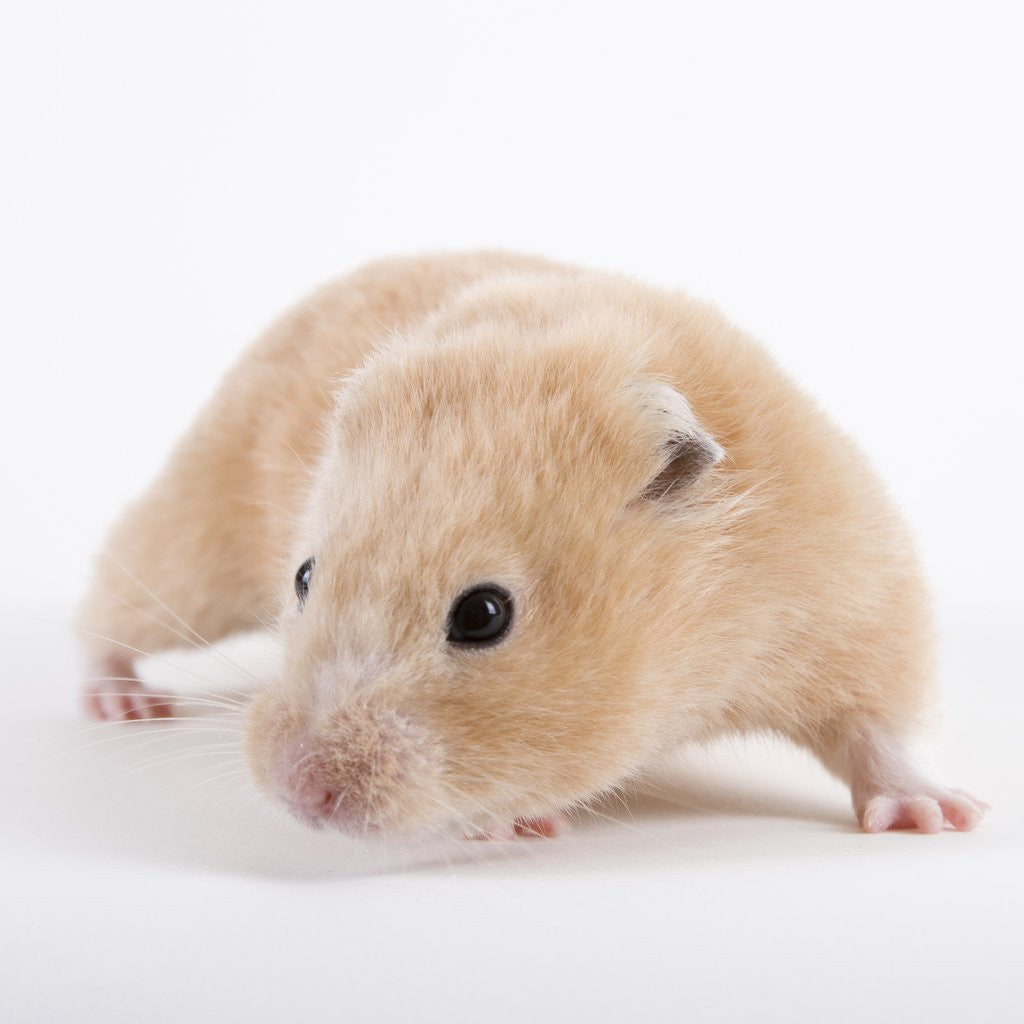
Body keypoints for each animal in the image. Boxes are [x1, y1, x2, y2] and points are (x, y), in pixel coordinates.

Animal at [78, 251, 987, 838]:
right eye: (303, 576)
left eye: (483, 614)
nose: (298, 795)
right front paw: (511, 820)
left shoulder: (856, 601)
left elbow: (885, 729)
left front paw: (939, 818)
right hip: (197, 535)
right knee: (110, 606)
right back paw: (122, 703)